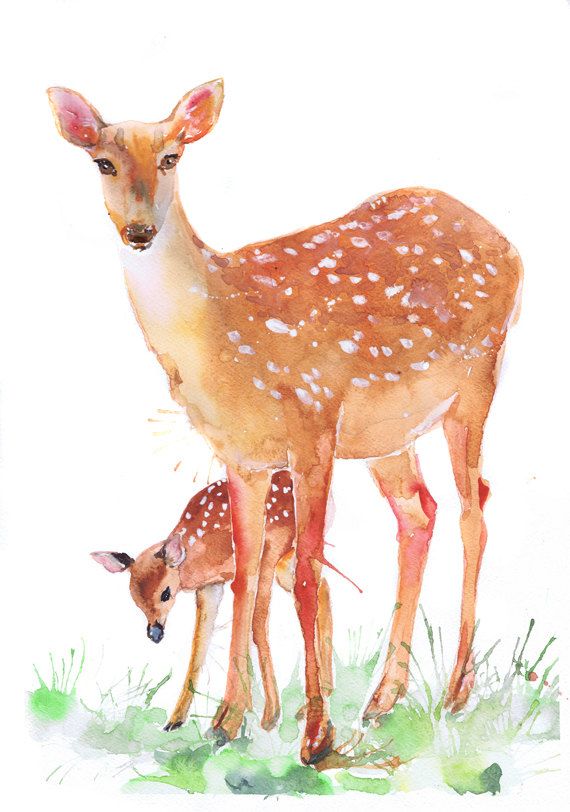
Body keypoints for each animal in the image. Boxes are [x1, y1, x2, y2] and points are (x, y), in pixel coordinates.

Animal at [92, 470, 333, 733]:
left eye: (166, 593)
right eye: (134, 599)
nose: (154, 634)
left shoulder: (263, 555)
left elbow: (255, 624)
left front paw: (259, 717)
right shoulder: (210, 587)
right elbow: (199, 642)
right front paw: (176, 720)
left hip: (288, 551)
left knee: (306, 594)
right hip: (286, 563)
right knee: (323, 588)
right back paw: (321, 695)